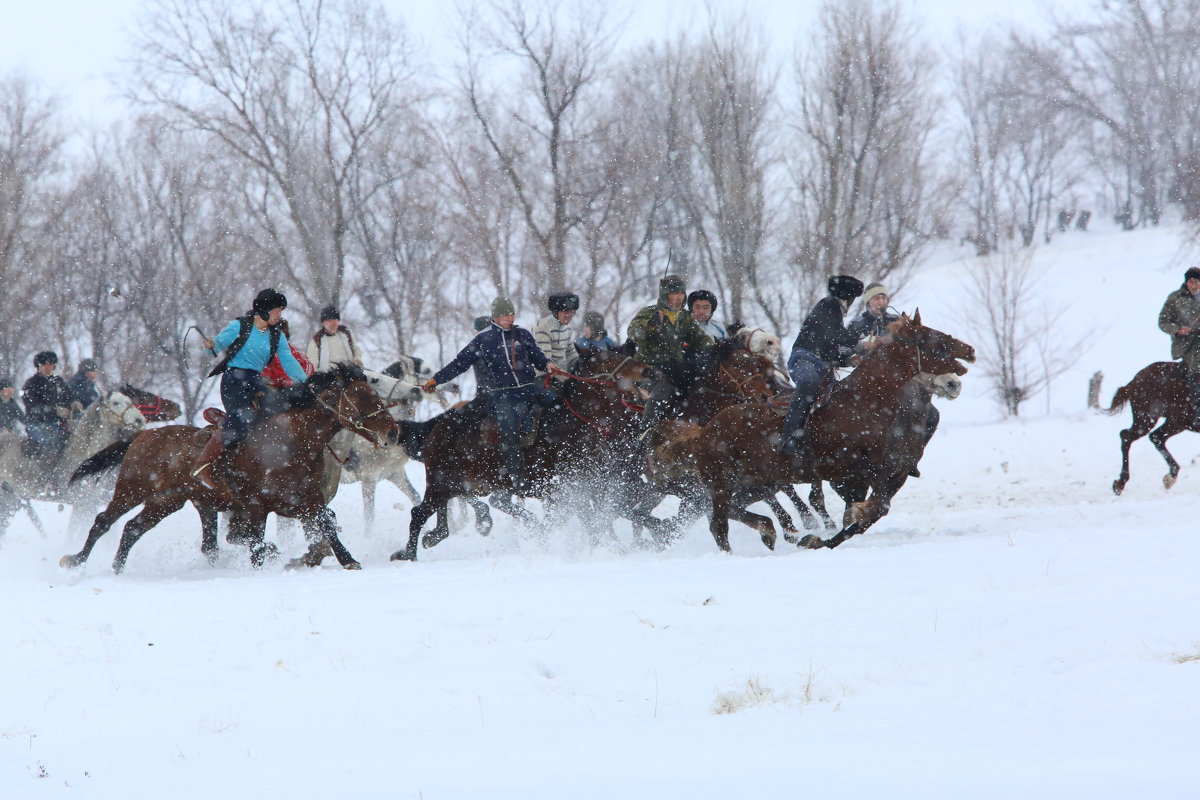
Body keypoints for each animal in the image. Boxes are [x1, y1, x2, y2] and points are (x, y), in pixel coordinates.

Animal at [59, 367, 398, 573]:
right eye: (362, 397)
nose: (393, 432)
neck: (291, 441)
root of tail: (141, 436)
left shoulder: (304, 501)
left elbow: (326, 527)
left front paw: (348, 560)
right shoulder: (257, 507)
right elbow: (256, 544)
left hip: (166, 500)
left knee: (132, 529)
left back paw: (117, 568)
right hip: (131, 490)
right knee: (103, 522)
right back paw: (75, 560)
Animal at [662, 311, 979, 551]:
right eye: (930, 336)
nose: (970, 350)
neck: (867, 403)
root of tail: (705, 432)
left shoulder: (890, 474)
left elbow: (872, 513)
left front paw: (818, 540)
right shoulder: (854, 470)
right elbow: (870, 507)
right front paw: (827, 531)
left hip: (753, 484)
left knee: (727, 512)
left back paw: (770, 531)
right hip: (722, 483)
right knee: (718, 524)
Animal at [1099, 362, 1200, 494]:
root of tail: (1133, 382)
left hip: (1176, 422)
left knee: (1155, 437)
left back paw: (1170, 477)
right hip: (1147, 419)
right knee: (1127, 436)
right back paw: (1120, 483)